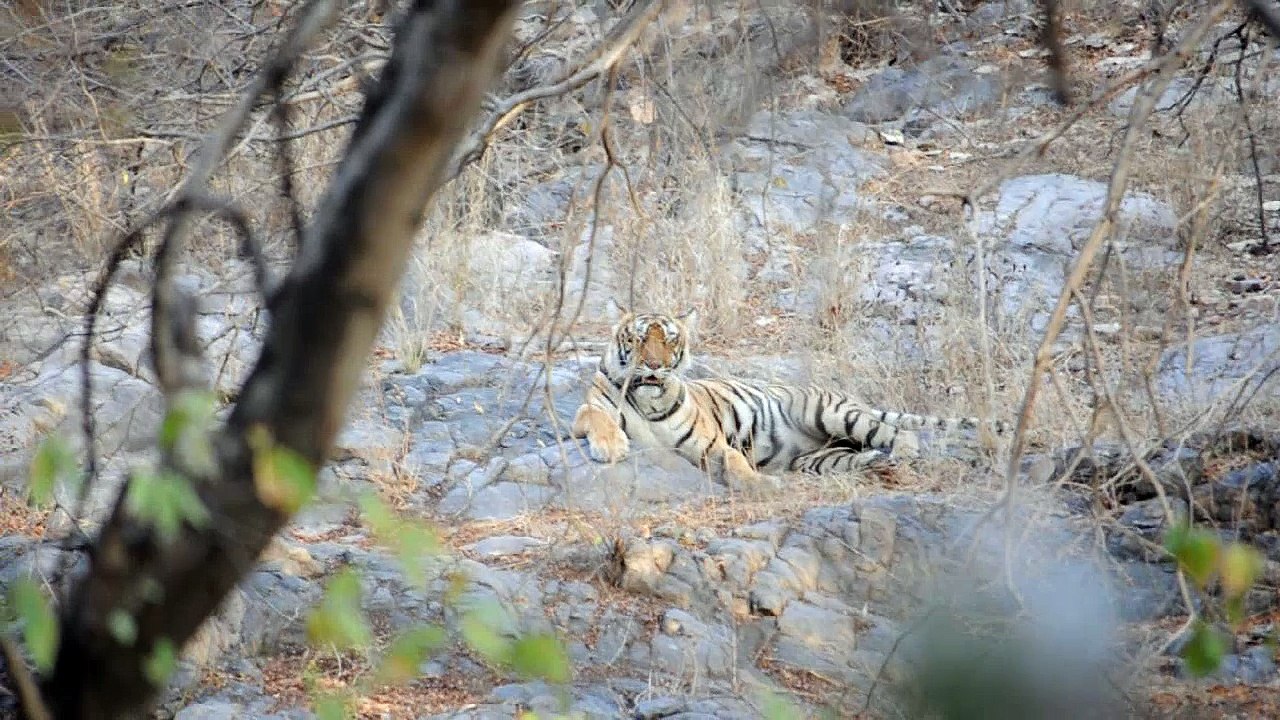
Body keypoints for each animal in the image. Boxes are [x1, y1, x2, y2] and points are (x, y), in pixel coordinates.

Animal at [570, 310, 1011, 488]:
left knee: (895, 432)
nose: (655, 366)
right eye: (639, 337)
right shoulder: (590, 409)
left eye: (671, 339)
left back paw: (902, 453)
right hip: (818, 457)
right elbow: (597, 417)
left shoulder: (710, 442)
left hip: (831, 413)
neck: (649, 399)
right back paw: (877, 462)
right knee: (855, 455)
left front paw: (761, 487)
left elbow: (735, 462)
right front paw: (610, 446)